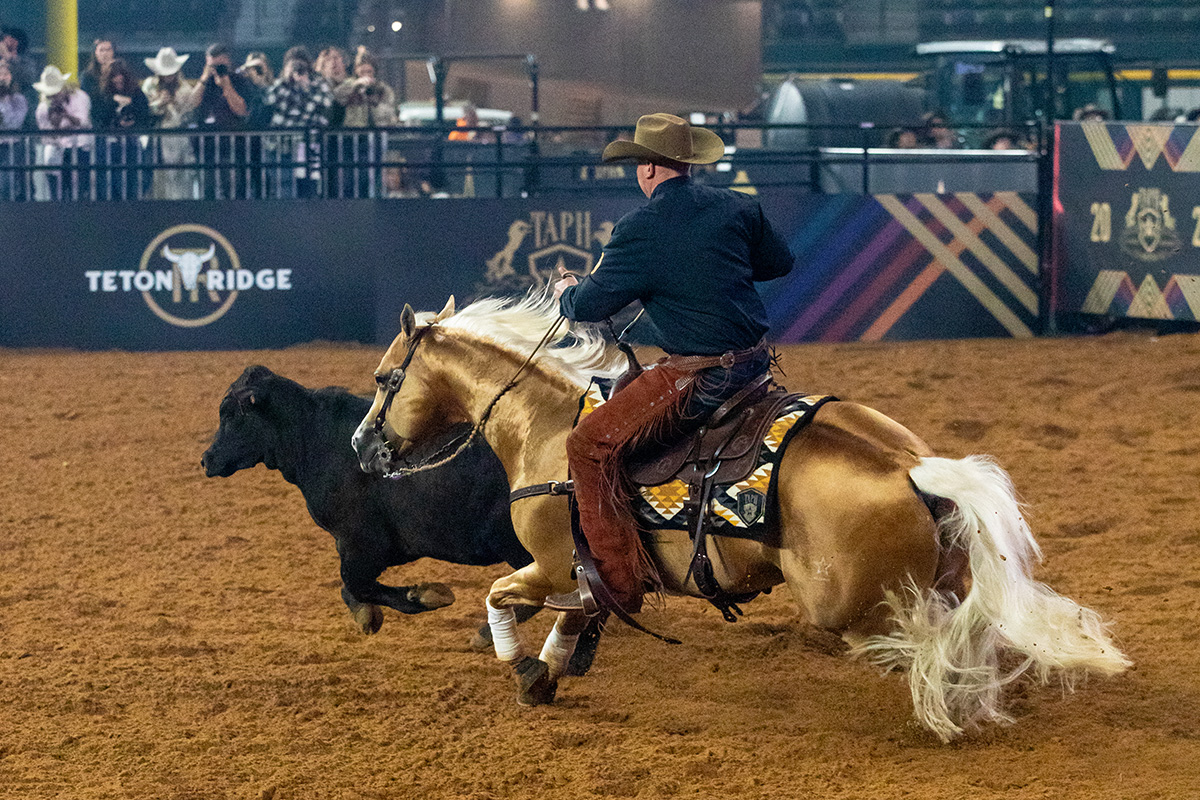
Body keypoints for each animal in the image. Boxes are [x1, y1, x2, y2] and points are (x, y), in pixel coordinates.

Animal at [350, 293, 1128, 743]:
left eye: (386, 378)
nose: (362, 445)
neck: (546, 426)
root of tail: (908, 465)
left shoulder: (548, 563)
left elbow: (499, 598)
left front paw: (523, 670)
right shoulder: (583, 573)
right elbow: (575, 618)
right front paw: (549, 672)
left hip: (855, 610)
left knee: (931, 647)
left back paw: (941, 713)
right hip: (933, 582)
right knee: (974, 635)